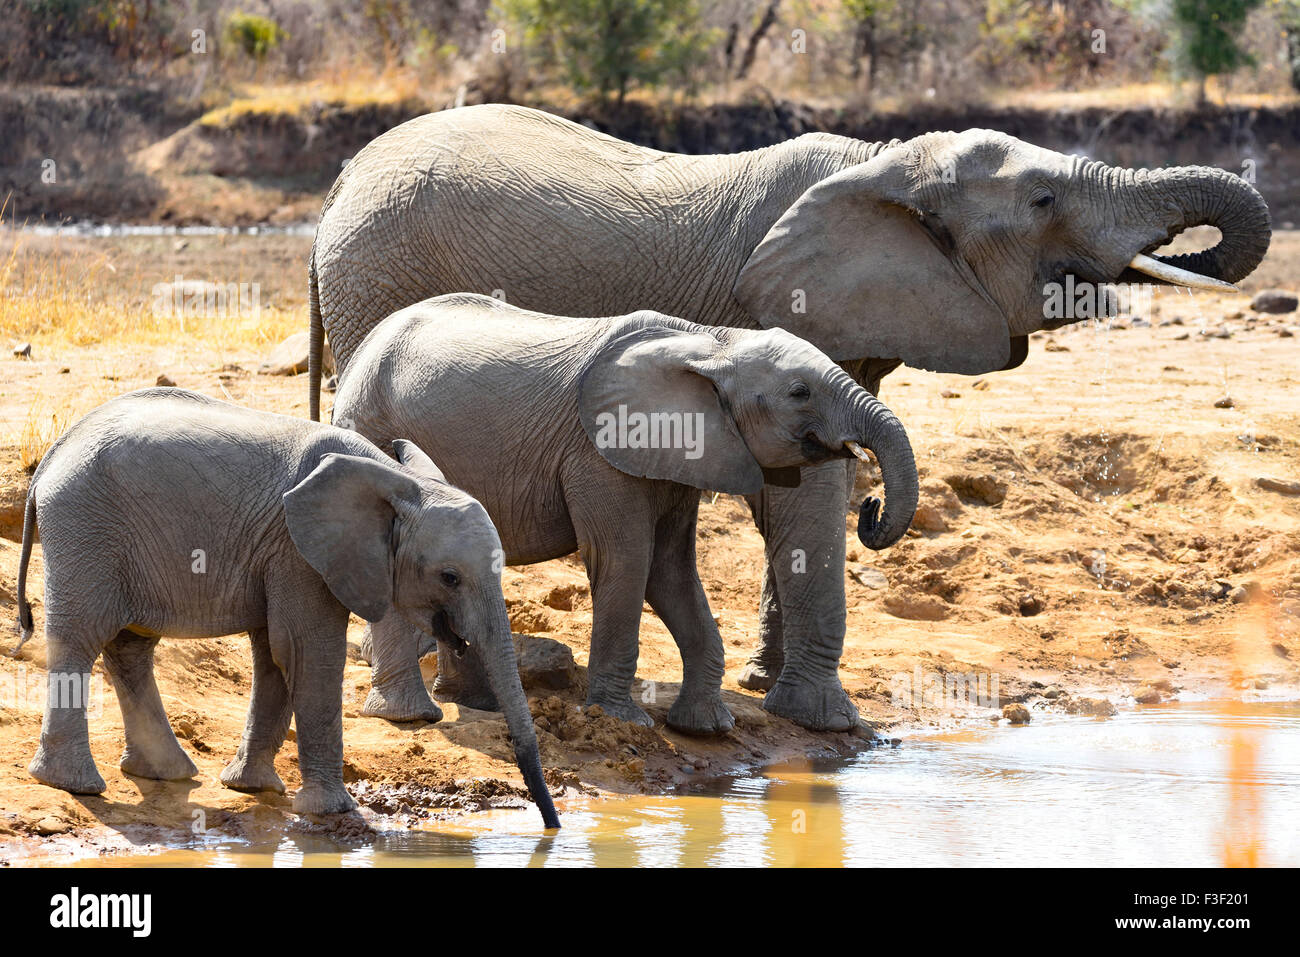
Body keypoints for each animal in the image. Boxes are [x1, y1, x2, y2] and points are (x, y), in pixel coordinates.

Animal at [13, 390, 559, 832]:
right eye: (449, 577)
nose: (551, 827)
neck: (396, 480)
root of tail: (53, 455)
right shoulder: (299, 552)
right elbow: (306, 652)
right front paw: (332, 812)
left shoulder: (282, 555)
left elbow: (274, 656)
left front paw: (253, 789)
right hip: (86, 529)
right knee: (82, 639)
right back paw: (76, 785)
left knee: (131, 646)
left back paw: (166, 773)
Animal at [338, 295, 925, 738]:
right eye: (799, 392)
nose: (870, 508)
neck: (712, 342)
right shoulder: (597, 453)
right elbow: (625, 559)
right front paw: (623, 722)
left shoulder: (675, 458)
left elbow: (669, 570)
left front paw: (706, 727)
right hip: (371, 425)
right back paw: (412, 716)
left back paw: (477, 703)